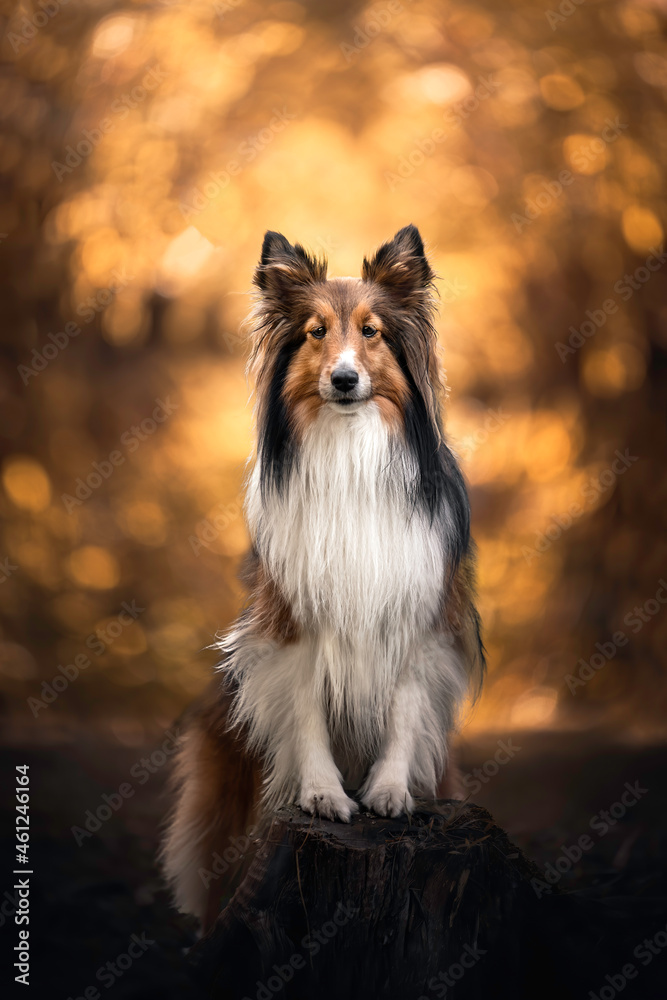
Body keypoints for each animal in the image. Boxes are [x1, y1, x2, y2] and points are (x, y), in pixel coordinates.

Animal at [162, 223, 486, 924]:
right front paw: (323, 795)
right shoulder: (294, 620)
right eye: (315, 332)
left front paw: (387, 791)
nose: (343, 379)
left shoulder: (417, 614)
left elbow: (404, 706)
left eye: (371, 332)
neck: (349, 452)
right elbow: (307, 707)